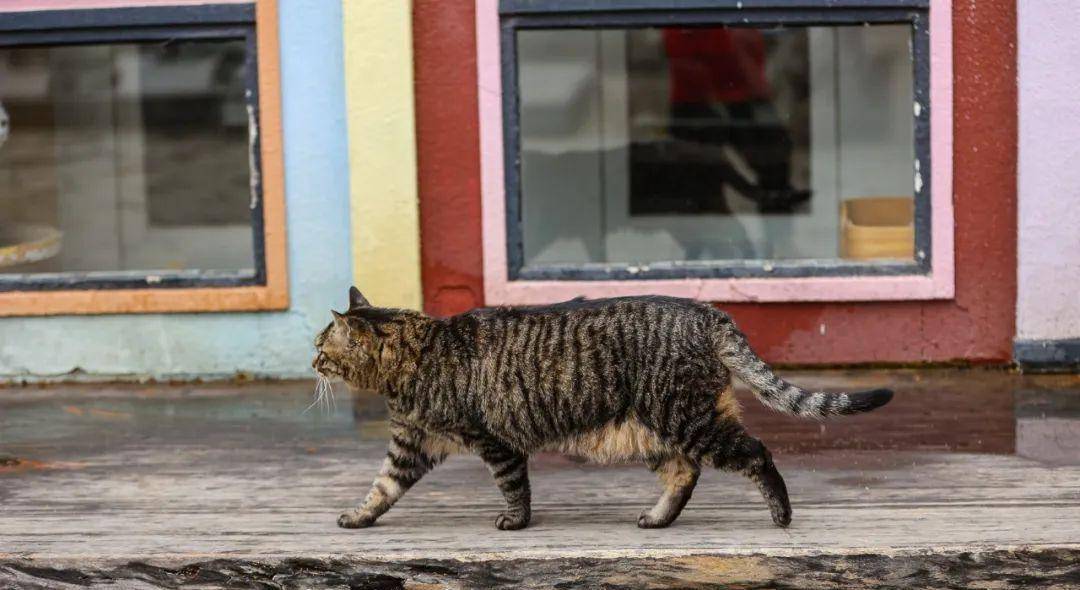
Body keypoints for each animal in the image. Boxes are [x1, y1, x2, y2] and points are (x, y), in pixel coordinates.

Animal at [315, 287, 894, 529]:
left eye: (322, 347)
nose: (311, 360)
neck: (416, 360)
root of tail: (710, 313)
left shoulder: (495, 443)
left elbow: (514, 488)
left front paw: (515, 522)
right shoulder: (409, 446)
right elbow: (381, 488)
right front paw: (358, 517)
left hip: (688, 417)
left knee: (756, 454)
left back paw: (781, 515)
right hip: (656, 429)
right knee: (685, 475)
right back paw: (657, 519)